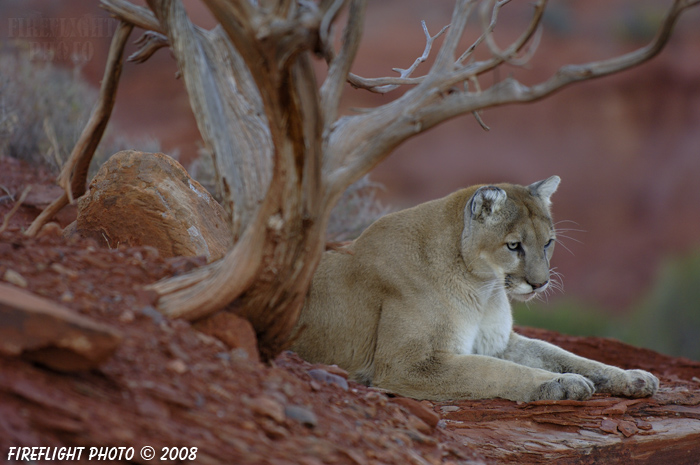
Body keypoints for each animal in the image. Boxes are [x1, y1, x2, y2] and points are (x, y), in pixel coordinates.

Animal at [292, 176, 660, 400]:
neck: (484, 287)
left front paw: (633, 376)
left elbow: (567, 356)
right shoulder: (408, 364)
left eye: (548, 243)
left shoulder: (500, 341)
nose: (540, 283)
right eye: (513, 245)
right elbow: (496, 370)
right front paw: (560, 383)